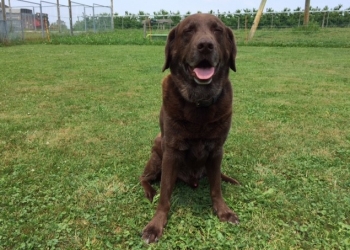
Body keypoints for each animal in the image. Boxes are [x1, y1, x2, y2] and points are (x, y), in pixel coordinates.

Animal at [141, 13, 239, 244]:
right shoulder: (171, 151)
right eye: (188, 31)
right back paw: (150, 192)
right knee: (144, 178)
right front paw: (156, 224)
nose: (205, 45)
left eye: (217, 30)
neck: (199, 102)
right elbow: (165, 194)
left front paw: (223, 211)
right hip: (157, 153)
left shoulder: (217, 150)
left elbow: (216, 186)